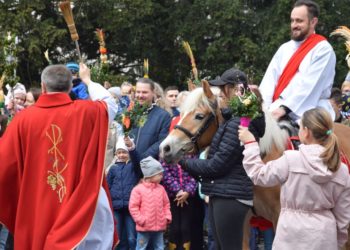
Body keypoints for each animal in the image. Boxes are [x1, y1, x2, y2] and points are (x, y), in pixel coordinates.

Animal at [159, 80, 350, 250]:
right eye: (182, 113)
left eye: (199, 116)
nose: (165, 148)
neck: (262, 159)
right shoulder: (243, 220)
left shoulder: (279, 216)